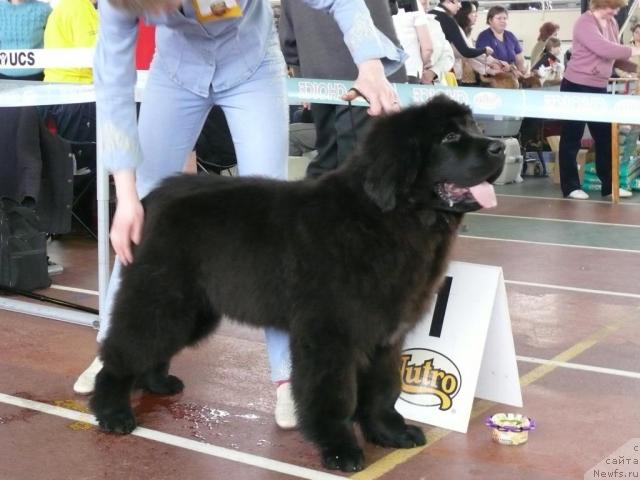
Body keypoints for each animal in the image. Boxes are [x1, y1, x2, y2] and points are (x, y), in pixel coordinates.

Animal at [89, 94, 504, 472]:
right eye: (449, 137)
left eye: (473, 127)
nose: (498, 147)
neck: (388, 218)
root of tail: (150, 198)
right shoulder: (330, 334)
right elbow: (336, 395)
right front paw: (340, 449)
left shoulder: (387, 332)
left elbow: (384, 388)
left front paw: (390, 432)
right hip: (162, 298)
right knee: (124, 349)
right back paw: (112, 411)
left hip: (194, 310)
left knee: (150, 347)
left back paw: (156, 383)